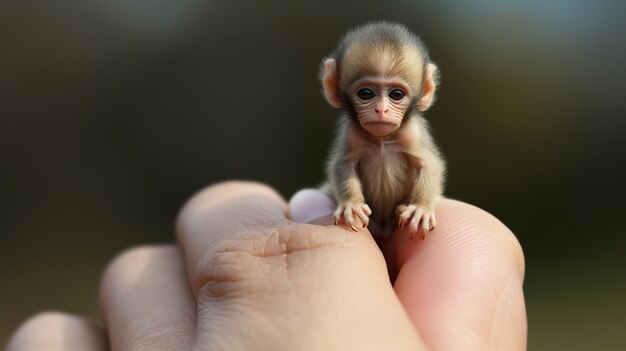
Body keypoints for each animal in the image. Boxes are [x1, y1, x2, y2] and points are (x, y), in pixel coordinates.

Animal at [322, 22, 444, 239]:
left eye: (396, 94)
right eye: (365, 93)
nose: (381, 110)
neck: (383, 140)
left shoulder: (413, 132)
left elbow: (430, 163)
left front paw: (420, 209)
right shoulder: (352, 132)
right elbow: (342, 163)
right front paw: (351, 205)